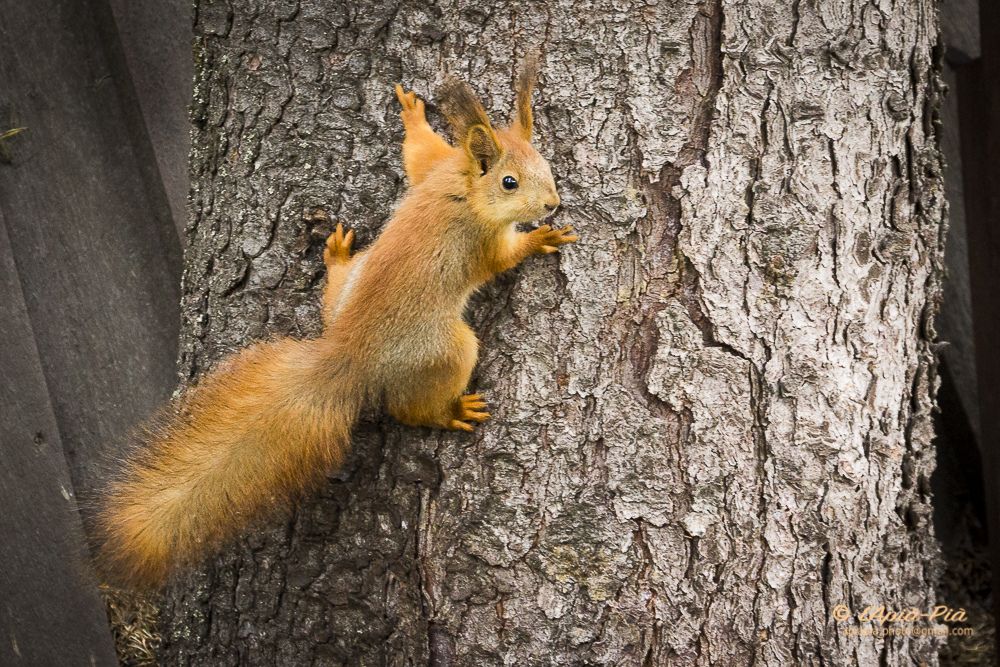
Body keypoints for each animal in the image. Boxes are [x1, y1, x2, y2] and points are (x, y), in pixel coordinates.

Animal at [98, 57, 580, 588]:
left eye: (545, 164)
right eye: (510, 182)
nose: (552, 204)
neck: (463, 188)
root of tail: (349, 352)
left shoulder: (434, 169)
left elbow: (418, 154)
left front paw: (413, 114)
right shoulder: (480, 239)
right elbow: (502, 258)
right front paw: (540, 239)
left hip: (348, 295)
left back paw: (337, 256)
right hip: (447, 349)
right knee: (412, 408)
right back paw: (449, 412)